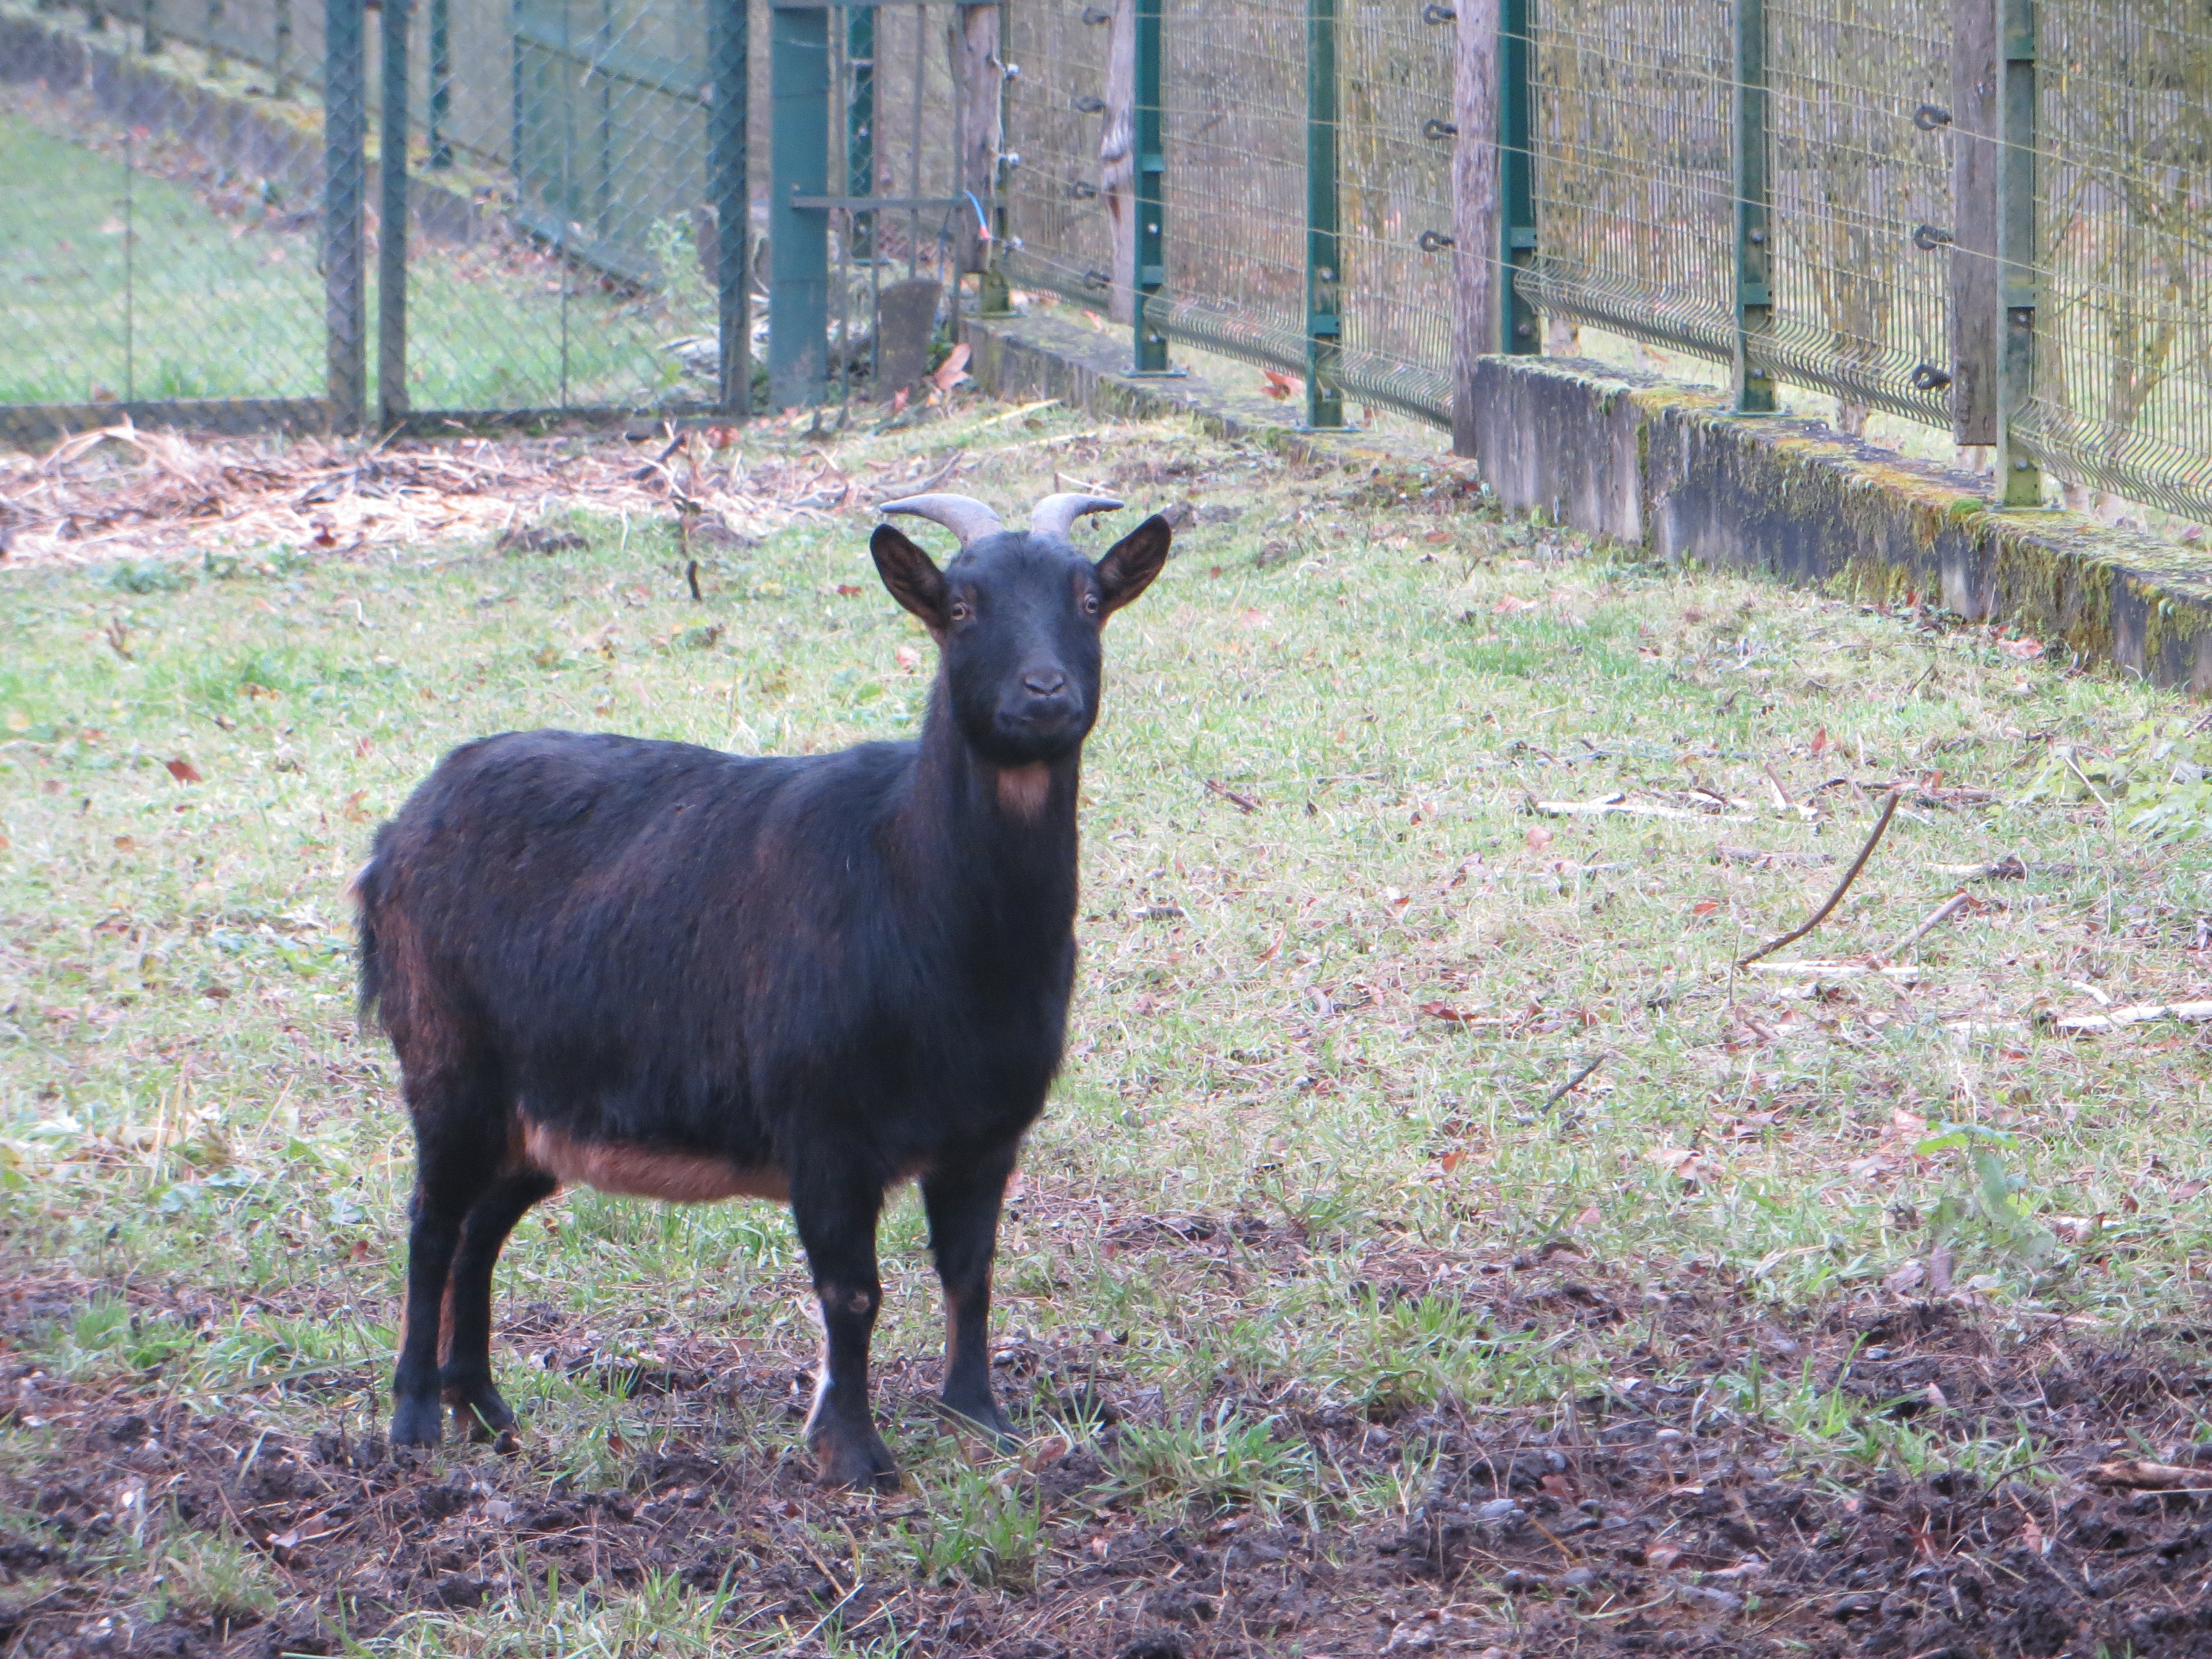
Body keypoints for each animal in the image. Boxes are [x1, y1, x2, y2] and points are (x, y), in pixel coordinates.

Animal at [354, 491, 1172, 1487]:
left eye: (1090, 599)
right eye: (960, 606)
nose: (1045, 693)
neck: (920, 899)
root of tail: (394, 837)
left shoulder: (985, 1133)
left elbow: (970, 1274)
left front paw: (981, 1420)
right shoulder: (823, 1126)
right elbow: (853, 1291)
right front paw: (855, 1452)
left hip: (542, 1111)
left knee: (481, 1232)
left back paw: (486, 1409)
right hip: (448, 1062)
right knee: (432, 1226)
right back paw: (415, 1422)